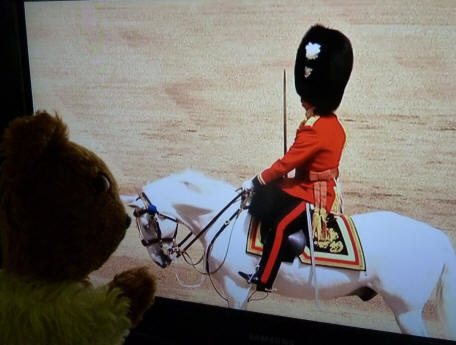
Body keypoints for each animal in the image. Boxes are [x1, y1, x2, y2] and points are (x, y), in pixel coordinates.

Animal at [121, 169, 456, 338]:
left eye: (145, 221)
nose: (160, 259)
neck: (228, 222)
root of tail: (438, 238)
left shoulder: (236, 290)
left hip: (406, 312)